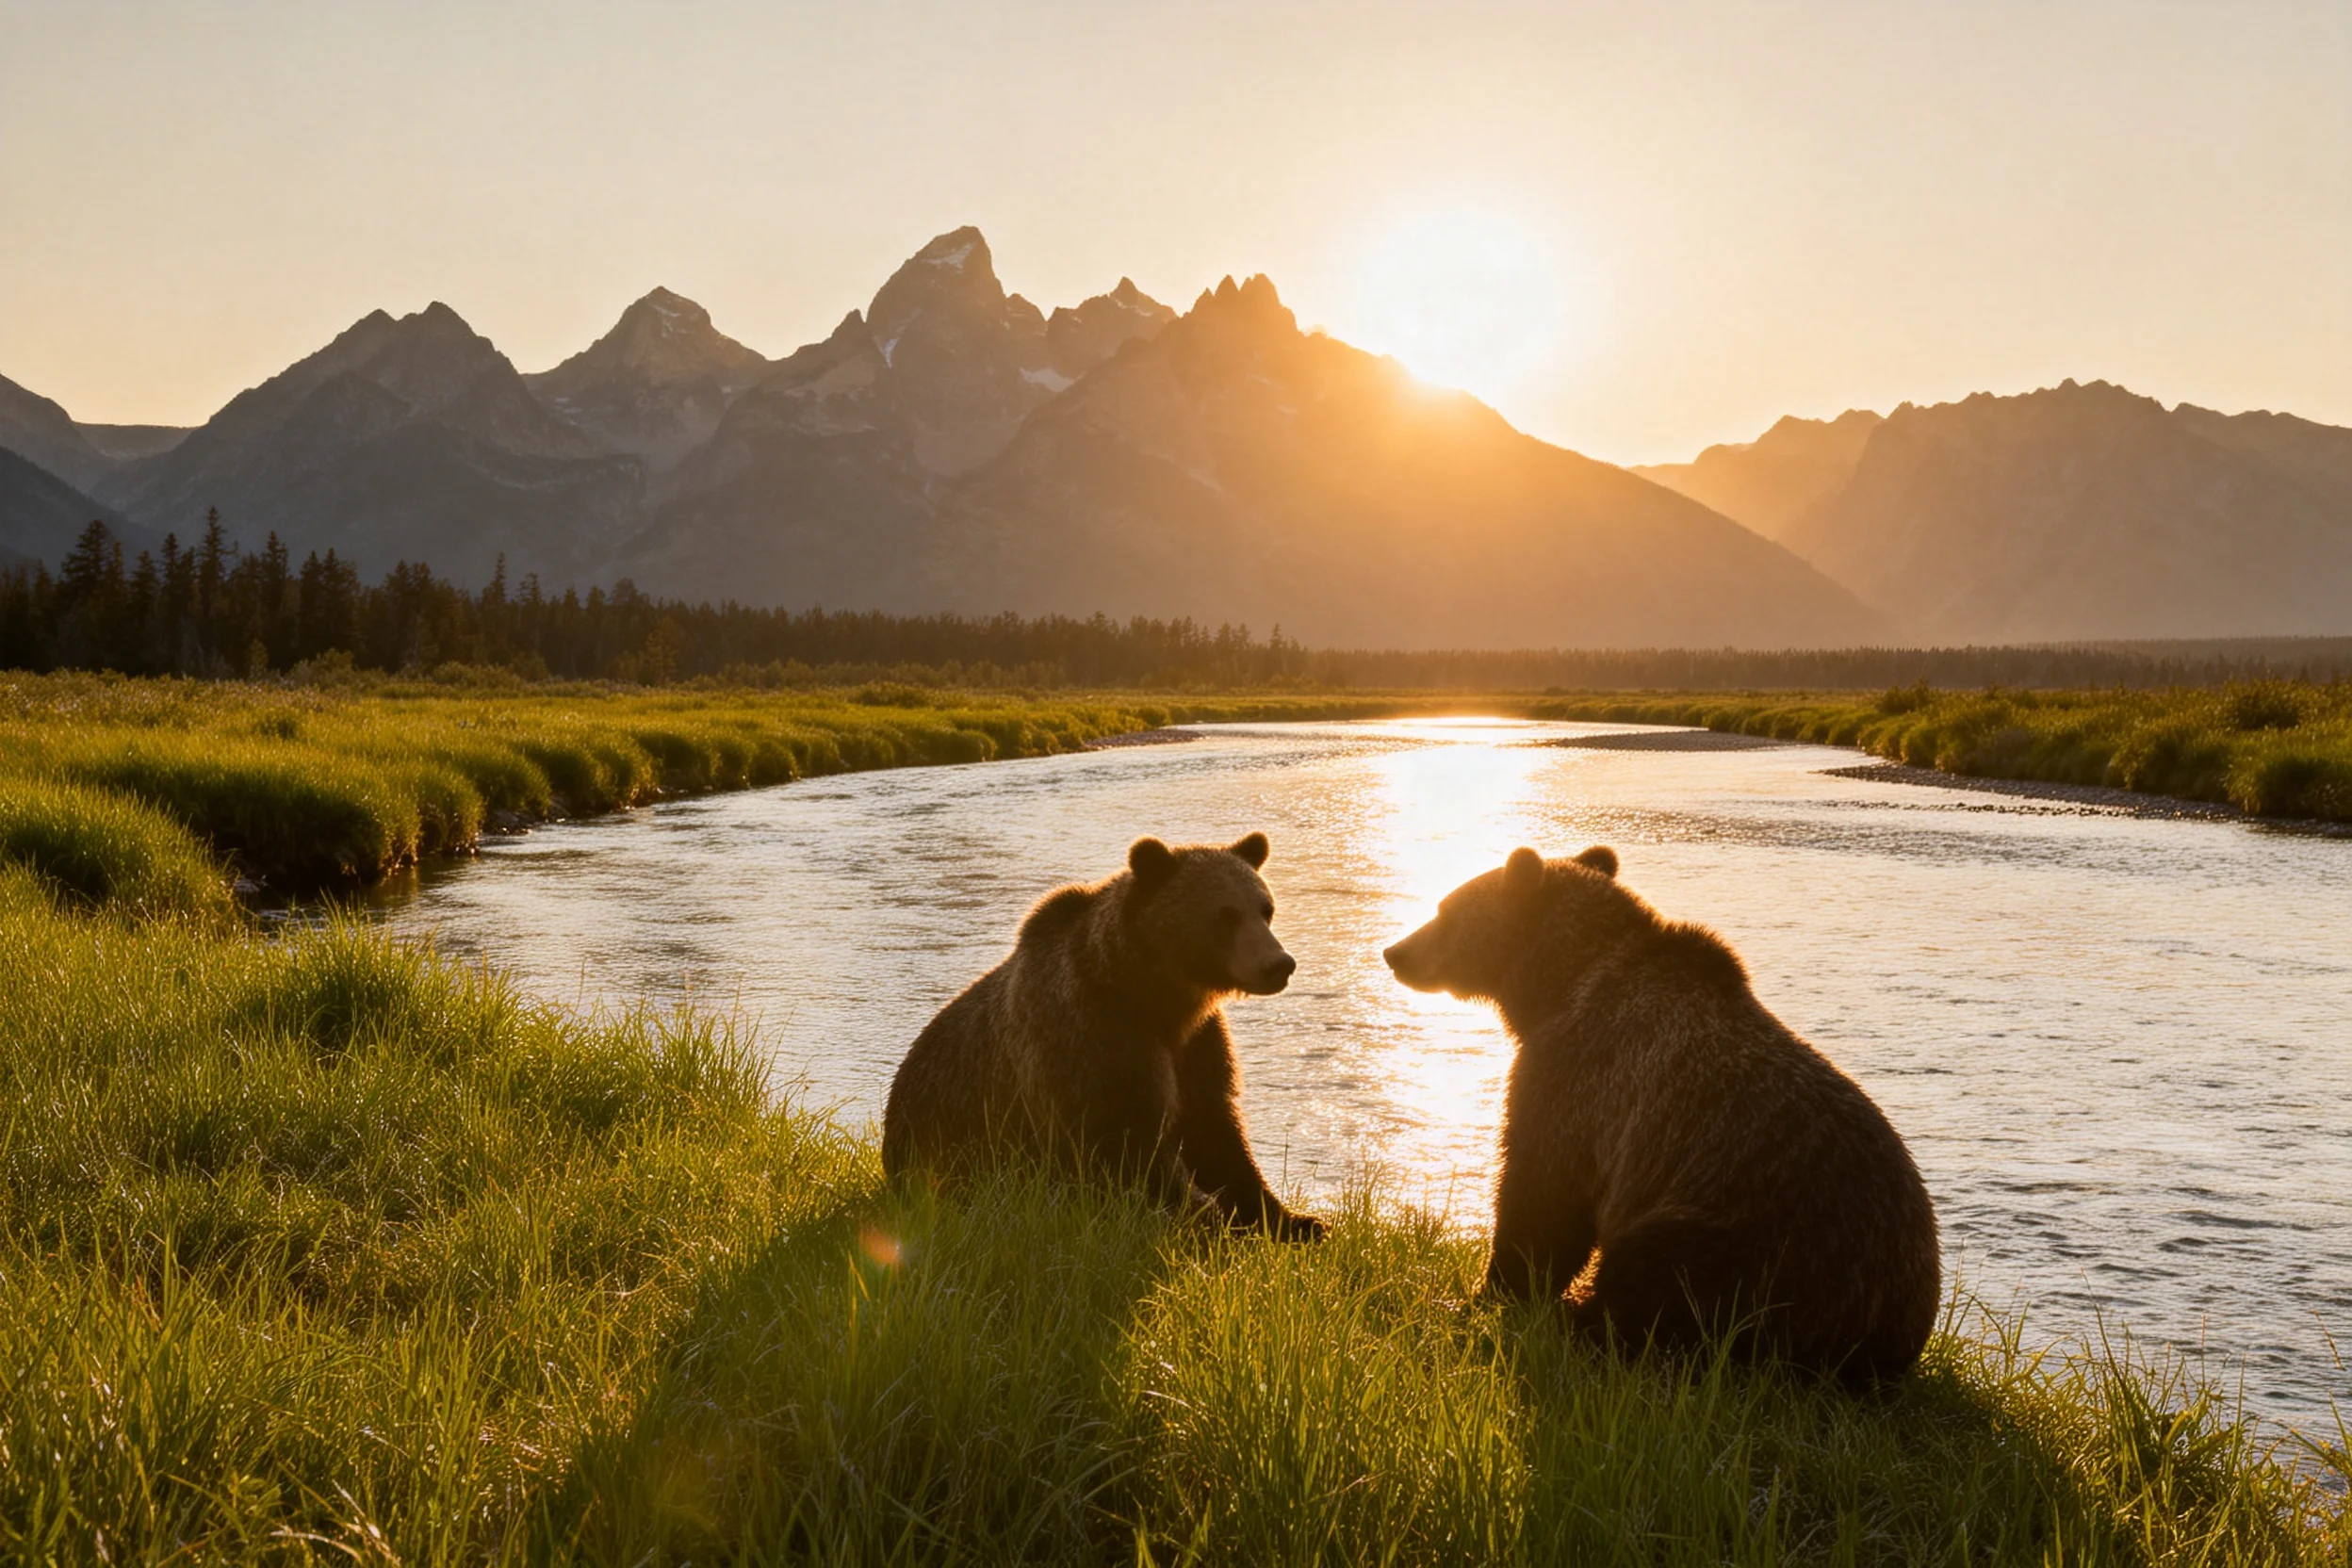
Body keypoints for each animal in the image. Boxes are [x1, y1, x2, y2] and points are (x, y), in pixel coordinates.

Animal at [881, 832, 1325, 1240]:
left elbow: (1216, 1128)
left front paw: (1297, 1221)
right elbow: (1125, 1138)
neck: (1154, 995)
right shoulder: (1093, 1035)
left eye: (1265, 909)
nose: (1279, 964)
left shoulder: (1197, 1043)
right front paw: (1202, 1211)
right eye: (1225, 915)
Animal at [1384, 846, 1940, 1381]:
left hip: (1761, 1244)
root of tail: (1884, 1346)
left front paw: (1489, 1292)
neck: (1558, 985)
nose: (1395, 952)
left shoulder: (1577, 1080)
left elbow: (1543, 1193)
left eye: (1446, 910)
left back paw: (1583, 1318)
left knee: (1656, 1279)